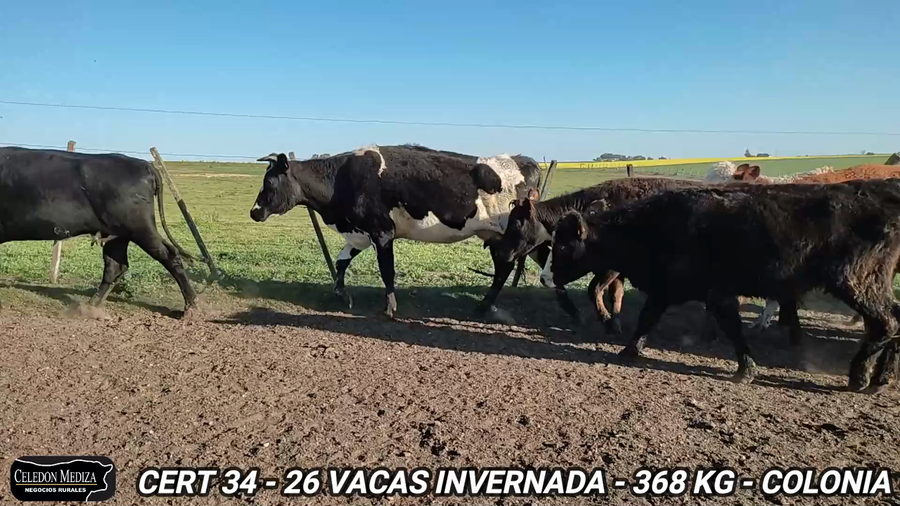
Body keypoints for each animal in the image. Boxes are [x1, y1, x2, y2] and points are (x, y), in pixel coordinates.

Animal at [0, 147, 197, 315]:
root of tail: (144, 164)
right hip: (118, 234)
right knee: (116, 266)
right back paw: (90, 306)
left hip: (139, 227)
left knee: (169, 255)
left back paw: (191, 307)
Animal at [250, 144, 541, 317]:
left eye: (270, 182)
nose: (254, 212)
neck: (343, 179)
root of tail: (524, 160)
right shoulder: (360, 233)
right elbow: (341, 262)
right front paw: (341, 294)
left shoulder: (382, 233)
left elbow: (386, 270)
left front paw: (390, 307)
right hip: (496, 237)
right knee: (502, 269)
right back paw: (485, 304)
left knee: (504, 269)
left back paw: (485, 305)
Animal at [482, 177, 705, 333]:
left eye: (517, 224)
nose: (502, 252)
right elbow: (615, 294)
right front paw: (614, 323)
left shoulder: (612, 267)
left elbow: (594, 289)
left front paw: (606, 320)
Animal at [540, 180, 900, 392]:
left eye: (563, 246)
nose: (545, 277)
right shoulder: (664, 289)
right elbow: (646, 319)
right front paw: (629, 350)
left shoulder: (718, 294)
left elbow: (732, 329)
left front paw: (746, 370)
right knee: (894, 320)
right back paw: (882, 378)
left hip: (855, 282)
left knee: (885, 323)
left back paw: (859, 376)